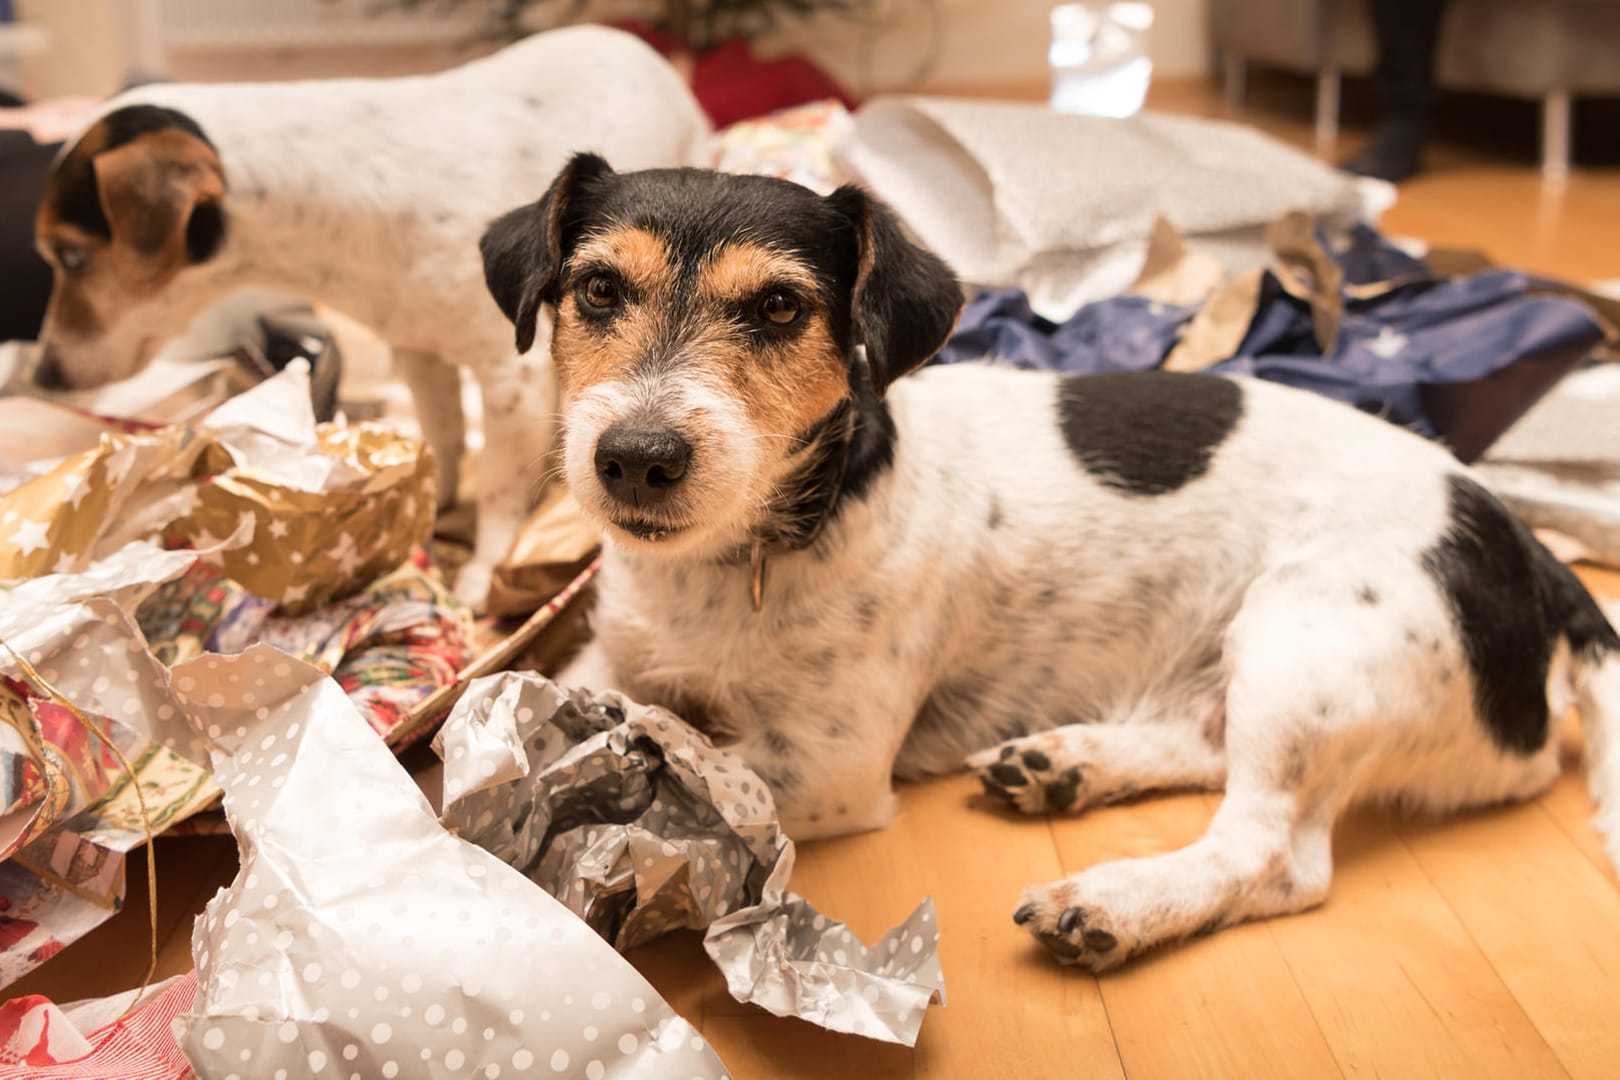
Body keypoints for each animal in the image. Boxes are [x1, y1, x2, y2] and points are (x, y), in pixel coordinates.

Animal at [29, 25, 709, 608]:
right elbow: (444, 440)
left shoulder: (505, 374)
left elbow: (495, 483)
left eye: (71, 256)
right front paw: (431, 508)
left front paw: (486, 567)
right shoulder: (419, 351)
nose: (43, 378)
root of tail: (633, 42)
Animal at [479, 153, 1620, 971]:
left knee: (1273, 854)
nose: (635, 456)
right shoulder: (606, 660)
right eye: (596, 288)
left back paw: (1116, 902)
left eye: (778, 308)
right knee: (1206, 743)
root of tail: (1534, 555)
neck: (748, 552)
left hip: (1311, 633)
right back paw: (1066, 765)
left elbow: (691, 774)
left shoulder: (829, 765)